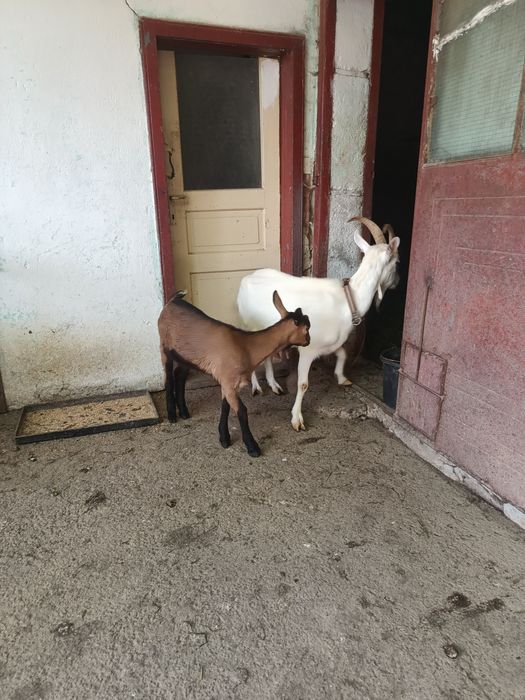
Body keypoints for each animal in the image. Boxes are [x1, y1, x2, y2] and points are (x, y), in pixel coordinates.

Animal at [158, 290, 310, 457]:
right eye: (307, 328)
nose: (309, 341)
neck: (247, 347)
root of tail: (173, 301)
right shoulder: (228, 381)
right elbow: (242, 411)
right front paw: (252, 447)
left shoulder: (229, 383)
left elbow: (225, 407)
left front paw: (224, 438)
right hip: (164, 346)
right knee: (168, 376)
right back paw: (172, 415)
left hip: (186, 355)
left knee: (179, 374)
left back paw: (184, 412)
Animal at [237, 217, 400, 431]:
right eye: (397, 262)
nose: (398, 282)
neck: (349, 298)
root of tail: (245, 279)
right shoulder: (308, 349)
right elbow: (303, 384)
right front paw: (297, 419)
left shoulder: (330, 343)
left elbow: (342, 353)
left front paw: (342, 378)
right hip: (249, 324)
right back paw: (257, 387)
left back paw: (274, 385)